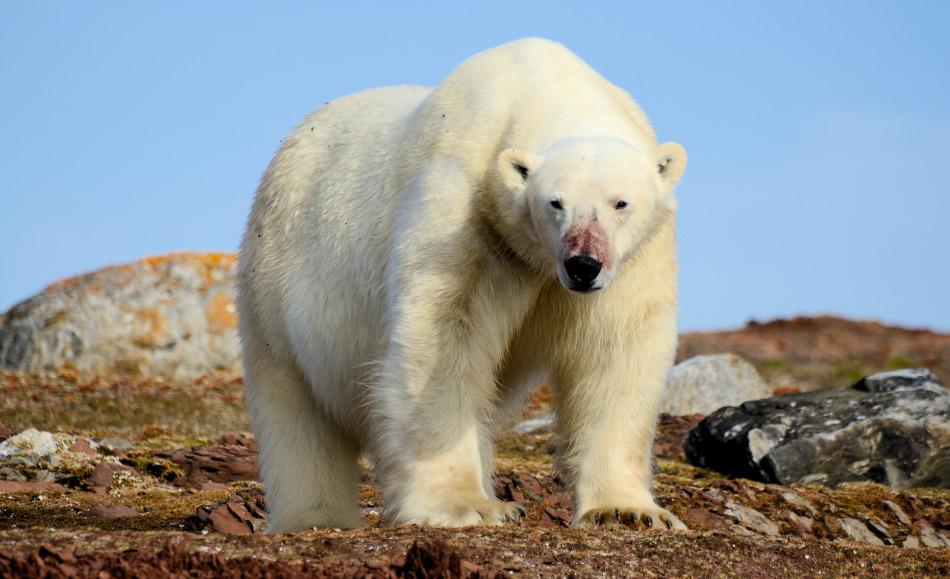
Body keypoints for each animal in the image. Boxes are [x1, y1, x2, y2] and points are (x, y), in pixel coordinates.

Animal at [235, 37, 688, 536]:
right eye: (555, 203)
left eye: (620, 202)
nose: (582, 266)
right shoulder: (466, 208)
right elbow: (445, 336)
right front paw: (467, 506)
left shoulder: (633, 258)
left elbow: (617, 348)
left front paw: (627, 510)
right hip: (276, 275)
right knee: (294, 405)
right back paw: (314, 515)